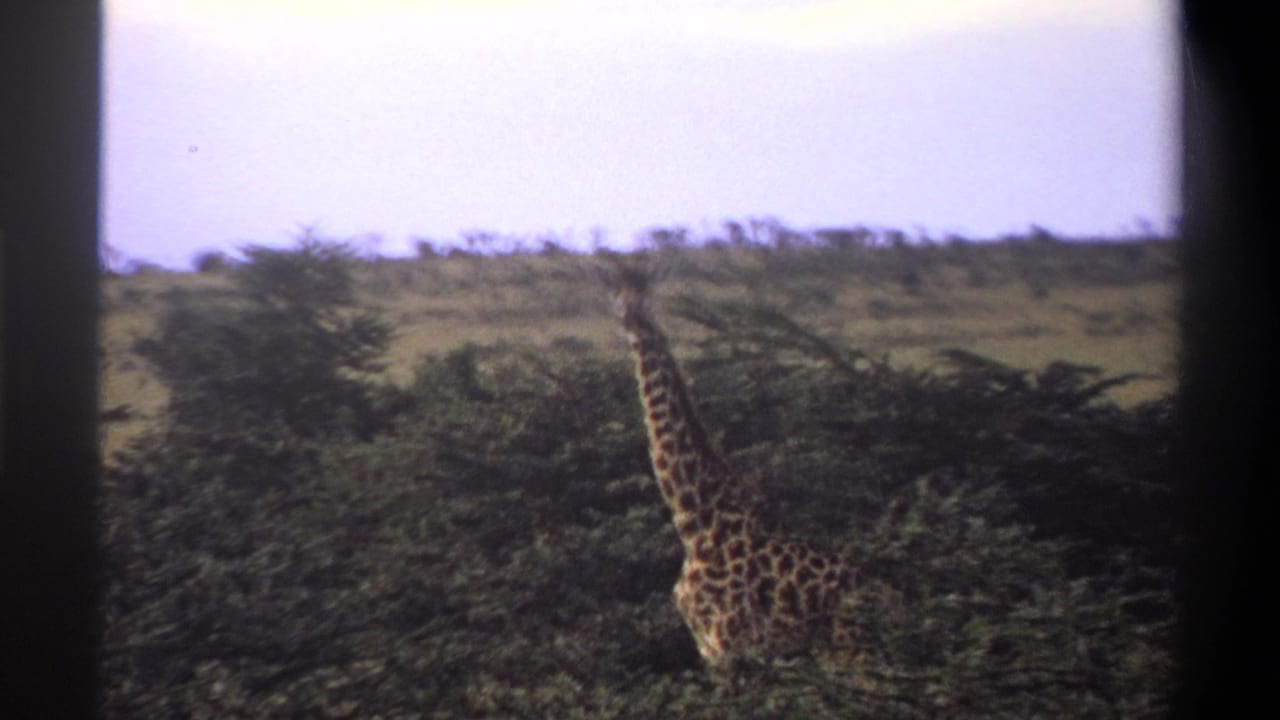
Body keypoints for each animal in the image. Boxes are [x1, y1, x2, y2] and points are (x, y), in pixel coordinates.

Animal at [600, 257, 858, 669]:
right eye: (614, 290)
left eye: (646, 290)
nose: (631, 317)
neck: (696, 522)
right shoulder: (709, 652)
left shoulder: (731, 649)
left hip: (849, 649)